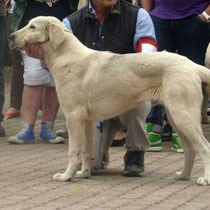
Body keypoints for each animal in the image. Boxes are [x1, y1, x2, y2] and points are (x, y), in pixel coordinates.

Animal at [10, 16, 210, 185]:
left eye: (32, 27)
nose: (11, 36)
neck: (65, 56)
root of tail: (190, 64)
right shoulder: (87, 121)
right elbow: (86, 151)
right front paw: (84, 173)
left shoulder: (73, 117)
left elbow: (73, 151)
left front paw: (67, 176)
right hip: (176, 118)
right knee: (191, 150)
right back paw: (183, 175)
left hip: (183, 116)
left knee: (204, 147)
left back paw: (205, 179)